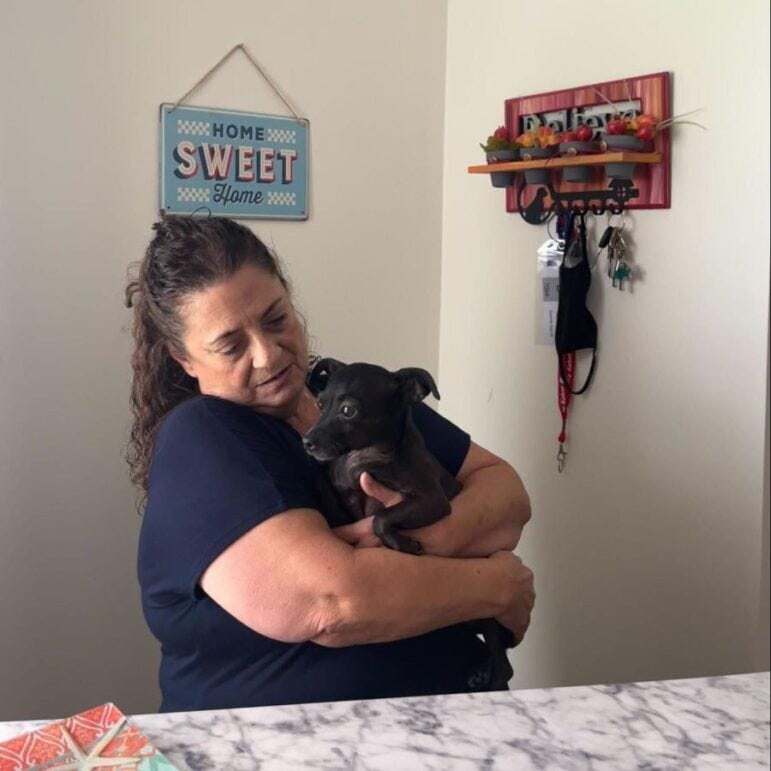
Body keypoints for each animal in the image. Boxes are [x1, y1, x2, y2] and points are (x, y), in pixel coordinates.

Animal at [304, 358, 516, 692]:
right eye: (319, 404)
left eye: (348, 411)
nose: (307, 442)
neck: (365, 455)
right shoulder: (346, 507)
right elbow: (328, 487)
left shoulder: (432, 501)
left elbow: (380, 519)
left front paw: (403, 544)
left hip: (490, 611)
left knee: (502, 659)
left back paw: (491, 678)